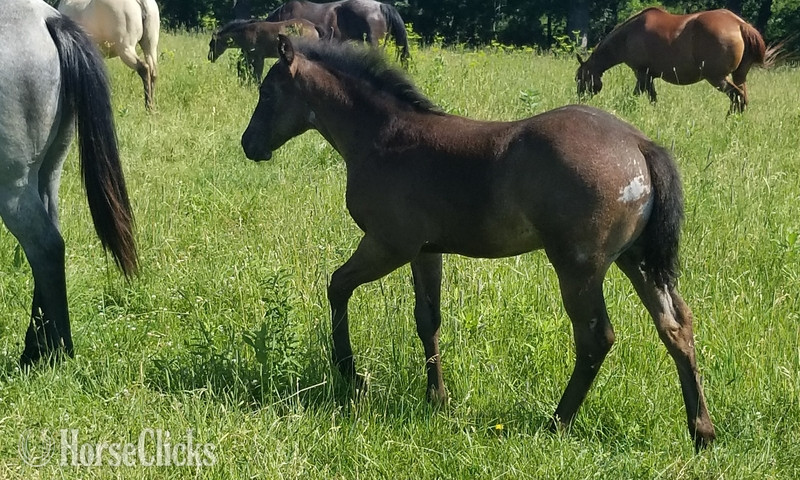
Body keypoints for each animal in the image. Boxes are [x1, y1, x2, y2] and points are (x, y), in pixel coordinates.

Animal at [0, 0, 138, 365]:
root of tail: (47, 18)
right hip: (48, 173)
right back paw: (40, 347)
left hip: (13, 186)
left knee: (45, 247)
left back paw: (54, 351)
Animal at [241, 36, 716, 450]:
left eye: (267, 92)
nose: (249, 145)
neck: (384, 136)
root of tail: (639, 143)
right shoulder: (426, 251)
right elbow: (427, 319)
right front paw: (437, 399)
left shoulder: (389, 245)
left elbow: (337, 286)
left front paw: (351, 375)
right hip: (638, 261)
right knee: (677, 326)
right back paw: (702, 432)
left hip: (579, 266)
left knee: (595, 337)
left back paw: (557, 422)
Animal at [576, 7, 769, 114]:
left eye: (579, 78)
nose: (579, 99)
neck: (628, 35)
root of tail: (740, 24)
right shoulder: (649, 76)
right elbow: (652, 98)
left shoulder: (642, 74)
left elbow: (637, 95)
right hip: (739, 76)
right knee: (742, 99)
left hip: (717, 78)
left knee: (737, 97)